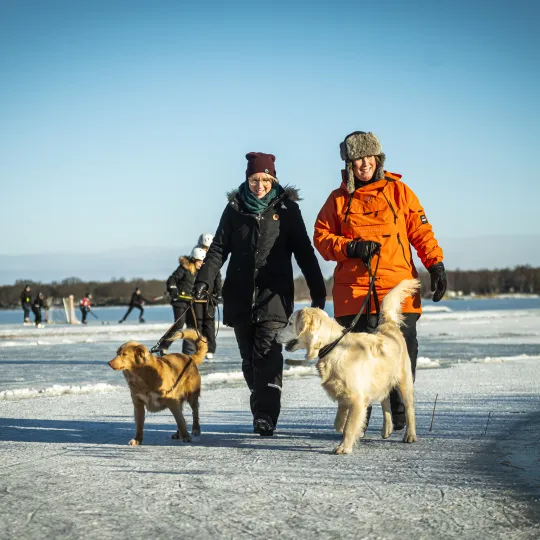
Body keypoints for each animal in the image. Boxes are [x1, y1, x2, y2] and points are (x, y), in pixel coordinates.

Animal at [276, 280, 420, 454]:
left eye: (290, 323)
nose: (275, 334)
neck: (333, 345)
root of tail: (388, 327)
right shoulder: (342, 391)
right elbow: (340, 421)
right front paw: (342, 428)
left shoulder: (357, 397)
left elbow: (351, 426)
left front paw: (344, 447)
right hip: (380, 379)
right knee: (385, 400)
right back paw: (387, 428)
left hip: (404, 382)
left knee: (409, 409)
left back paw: (410, 435)